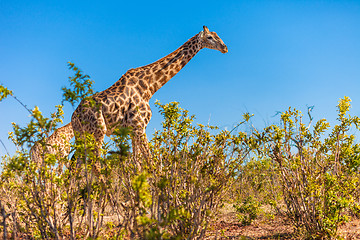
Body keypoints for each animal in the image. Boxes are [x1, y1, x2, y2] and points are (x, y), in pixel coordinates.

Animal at [70, 25, 228, 158]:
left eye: (217, 35)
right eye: (210, 37)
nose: (225, 47)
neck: (149, 87)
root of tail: (74, 116)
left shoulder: (133, 131)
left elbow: (137, 163)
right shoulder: (139, 127)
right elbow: (149, 161)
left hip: (82, 135)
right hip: (98, 131)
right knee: (94, 161)